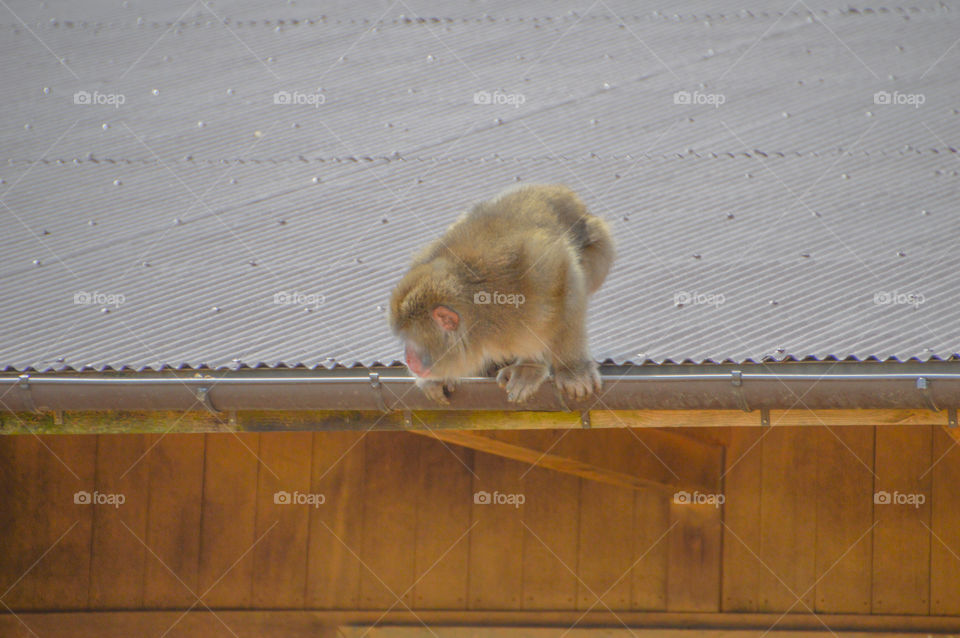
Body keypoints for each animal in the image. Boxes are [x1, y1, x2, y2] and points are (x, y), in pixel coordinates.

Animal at [388, 184, 614, 404]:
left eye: (410, 338)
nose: (407, 358)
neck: (480, 320)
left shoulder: (532, 277)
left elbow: (564, 276)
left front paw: (571, 370)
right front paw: (433, 382)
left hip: (599, 247)